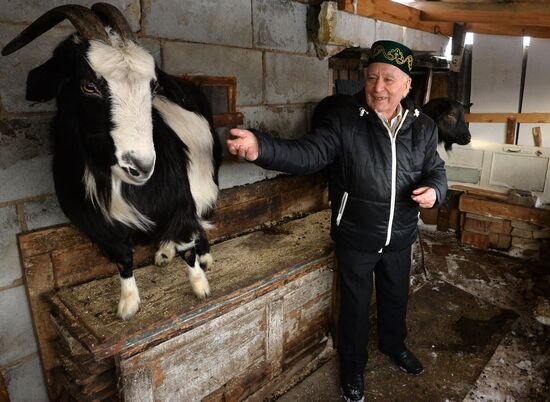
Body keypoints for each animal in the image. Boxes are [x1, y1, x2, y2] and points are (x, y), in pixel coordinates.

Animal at [2, 2, 222, 318]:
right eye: (88, 86)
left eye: (153, 88)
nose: (141, 166)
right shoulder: (99, 226)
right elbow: (123, 259)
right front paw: (128, 304)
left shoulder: (178, 202)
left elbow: (187, 246)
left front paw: (200, 286)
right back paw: (164, 252)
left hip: (207, 178)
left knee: (202, 217)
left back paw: (203, 257)